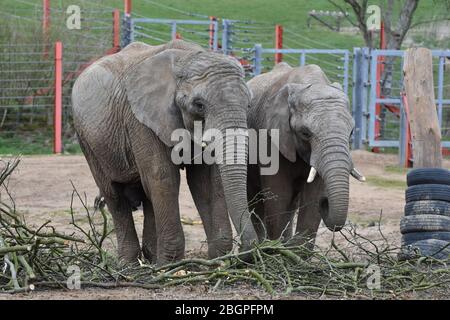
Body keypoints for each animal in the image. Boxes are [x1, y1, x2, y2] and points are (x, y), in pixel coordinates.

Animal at [70, 40, 256, 264]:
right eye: (199, 105)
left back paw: (152, 260)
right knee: (114, 195)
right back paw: (130, 265)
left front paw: (217, 261)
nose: (248, 252)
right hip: (87, 139)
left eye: (248, 104)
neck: (186, 57)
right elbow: (163, 177)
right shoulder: (140, 121)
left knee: (147, 196)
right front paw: (172, 265)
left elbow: (205, 182)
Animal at [246, 62, 366, 248]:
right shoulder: (270, 134)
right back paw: (262, 246)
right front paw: (275, 250)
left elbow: (312, 196)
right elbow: (279, 193)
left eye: (351, 131)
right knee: (255, 201)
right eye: (305, 133)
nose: (326, 201)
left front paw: (298, 252)